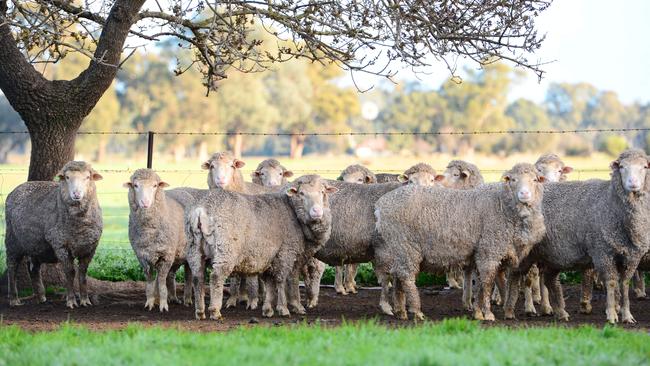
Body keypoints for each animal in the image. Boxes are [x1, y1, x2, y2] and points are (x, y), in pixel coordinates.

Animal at [4, 162, 102, 308]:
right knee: (12, 266)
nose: (76, 194)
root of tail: (16, 189)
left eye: (87, 177)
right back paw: (14, 299)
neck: (80, 225)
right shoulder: (61, 244)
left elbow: (83, 273)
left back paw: (41, 297)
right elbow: (70, 272)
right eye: (67, 177)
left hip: (35, 245)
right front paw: (71, 301)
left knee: (33, 269)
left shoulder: (90, 247)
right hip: (12, 241)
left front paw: (85, 300)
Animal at [124, 169, 194, 312]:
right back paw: (173, 298)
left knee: (188, 275)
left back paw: (187, 299)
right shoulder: (143, 256)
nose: (145, 203)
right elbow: (150, 281)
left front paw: (163, 305)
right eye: (135, 185)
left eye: (155, 186)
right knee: (171, 275)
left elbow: (161, 281)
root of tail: (184, 191)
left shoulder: (166, 256)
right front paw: (150, 302)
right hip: (177, 254)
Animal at [182, 176, 334, 318]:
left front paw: (268, 309)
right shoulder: (286, 252)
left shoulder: (269, 256)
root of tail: (201, 210)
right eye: (301, 193)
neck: (292, 211)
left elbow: (270, 282)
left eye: (322, 192)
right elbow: (283, 280)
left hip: (194, 247)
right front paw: (285, 308)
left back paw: (200, 311)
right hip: (225, 248)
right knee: (216, 276)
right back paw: (214, 311)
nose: (317, 211)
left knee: (197, 277)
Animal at [372, 163, 544, 320]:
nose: (524, 193)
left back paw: (400, 311)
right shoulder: (489, 251)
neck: (503, 204)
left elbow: (484, 284)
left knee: (397, 274)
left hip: (398, 248)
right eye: (513, 180)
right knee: (406, 276)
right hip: (406, 245)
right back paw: (416, 311)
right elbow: (487, 282)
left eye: (535, 179)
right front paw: (488, 314)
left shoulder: (488, 253)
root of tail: (380, 206)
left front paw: (480, 312)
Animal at [504, 149, 648, 324]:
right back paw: (511, 309)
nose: (633, 182)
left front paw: (626, 315)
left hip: (552, 253)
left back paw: (560, 312)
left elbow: (624, 284)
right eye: (621, 167)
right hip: (527, 251)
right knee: (516, 275)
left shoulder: (631, 257)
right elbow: (612, 282)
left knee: (548, 279)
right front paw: (612, 314)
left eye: (645, 167)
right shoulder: (602, 252)